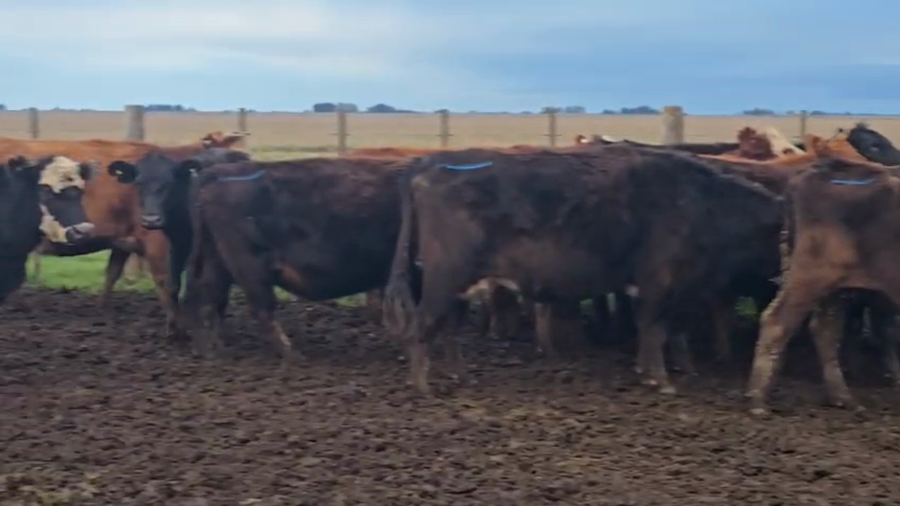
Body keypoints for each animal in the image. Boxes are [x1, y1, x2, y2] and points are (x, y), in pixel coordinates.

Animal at [106, 148, 252, 332]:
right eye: (138, 183)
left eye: (169, 183)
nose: (151, 220)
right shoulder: (176, 249)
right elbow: (172, 287)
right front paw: (174, 327)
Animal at [184, 156, 411, 359]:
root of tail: (218, 172)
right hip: (250, 268)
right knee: (260, 308)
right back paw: (291, 354)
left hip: (217, 262)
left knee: (205, 297)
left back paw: (210, 349)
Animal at [381, 146, 783, 395]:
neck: (703, 202)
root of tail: (434, 162)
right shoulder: (661, 282)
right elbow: (655, 329)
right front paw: (660, 379)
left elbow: (663, 330)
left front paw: (657, 372)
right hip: (444, 277)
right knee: (422, 326)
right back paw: (422, 386)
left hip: (460, 285)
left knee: (447, 328)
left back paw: (460, 376)